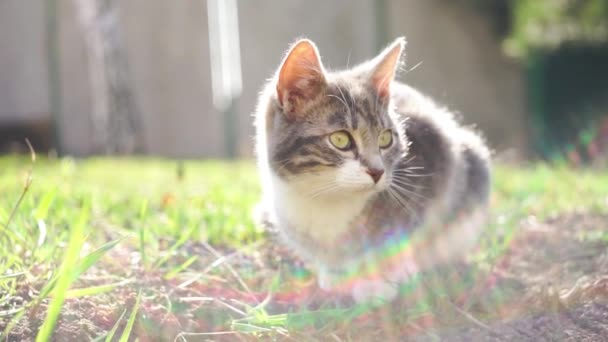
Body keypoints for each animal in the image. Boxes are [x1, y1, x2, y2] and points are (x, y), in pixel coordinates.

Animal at [254, 36, 492, 302]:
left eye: (386, 139)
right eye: (340, 139)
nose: (378, 172)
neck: (326, 199)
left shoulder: (434, 154)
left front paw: (386, 278)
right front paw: (336, 274)